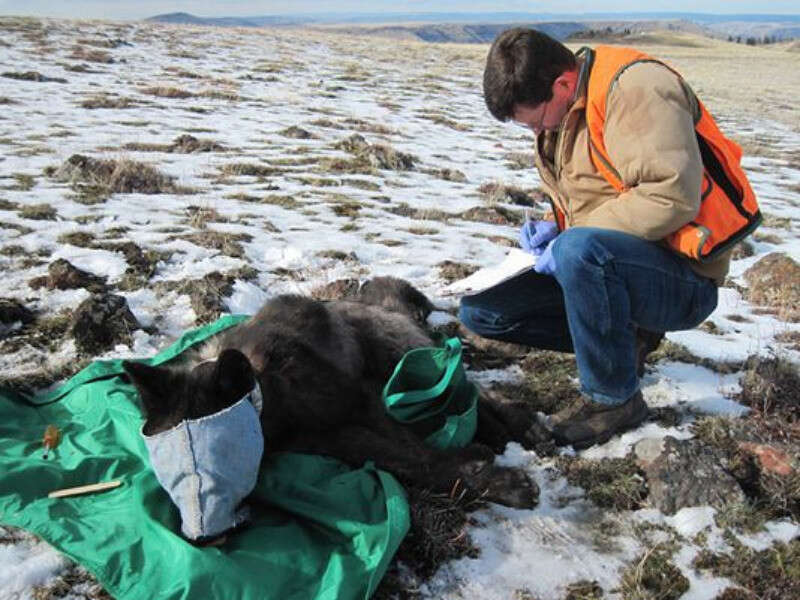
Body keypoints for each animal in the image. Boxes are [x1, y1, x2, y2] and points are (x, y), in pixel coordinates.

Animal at [122, 280, 540, 540]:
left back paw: (517, 424)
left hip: (396, 352)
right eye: (167, 475)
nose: (203, 539)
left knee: (470, 387)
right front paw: (481, 468)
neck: (269, 391)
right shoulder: (335, 439)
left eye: (221, 457)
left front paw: (493, 478)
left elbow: (420, 455)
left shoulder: (362, 401)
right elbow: (405, 461)